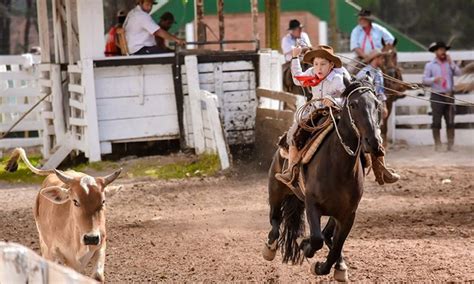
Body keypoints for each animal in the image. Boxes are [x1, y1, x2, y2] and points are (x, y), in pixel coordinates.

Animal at [5, 148, 122, 282]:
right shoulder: (56, 254)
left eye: (103, 201)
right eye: (75, 201)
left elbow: (97, 276)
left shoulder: (100, 245)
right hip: (44, 245)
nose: (91, 238)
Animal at [262, 76, 384, 282]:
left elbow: (335, 246)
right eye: (353, 104)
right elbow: (316, 239)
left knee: (328, 235)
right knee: (275, 221)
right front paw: (305, 245)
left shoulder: (348, 215)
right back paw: (270, 248)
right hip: (276, 189)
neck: (338, 168)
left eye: (376, 104)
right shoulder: (312, 205)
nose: (373, 142)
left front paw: (325, 267)